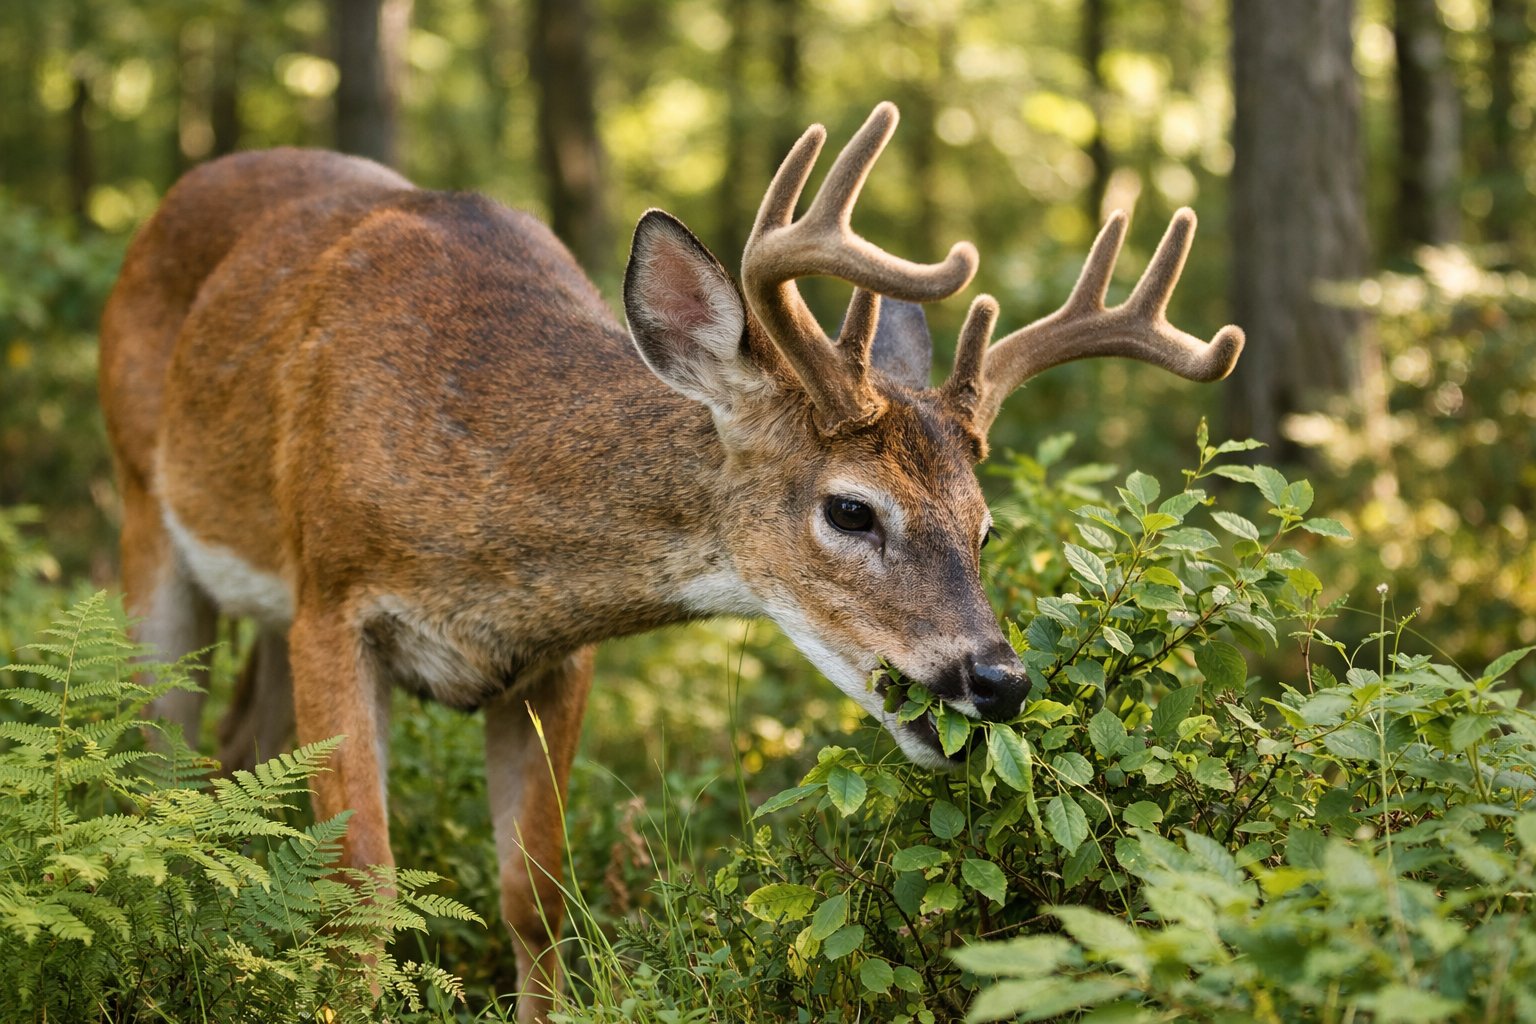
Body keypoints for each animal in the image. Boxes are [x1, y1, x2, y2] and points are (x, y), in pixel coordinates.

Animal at [98, 102, 1243, 1021]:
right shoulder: (334, 596)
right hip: (147, 507)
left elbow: (537, 893)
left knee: (236, 749)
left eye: (984, 526)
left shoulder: (556, 655)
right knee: (162, 759)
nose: (997, 677)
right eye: (850, 509)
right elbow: (365, 885)